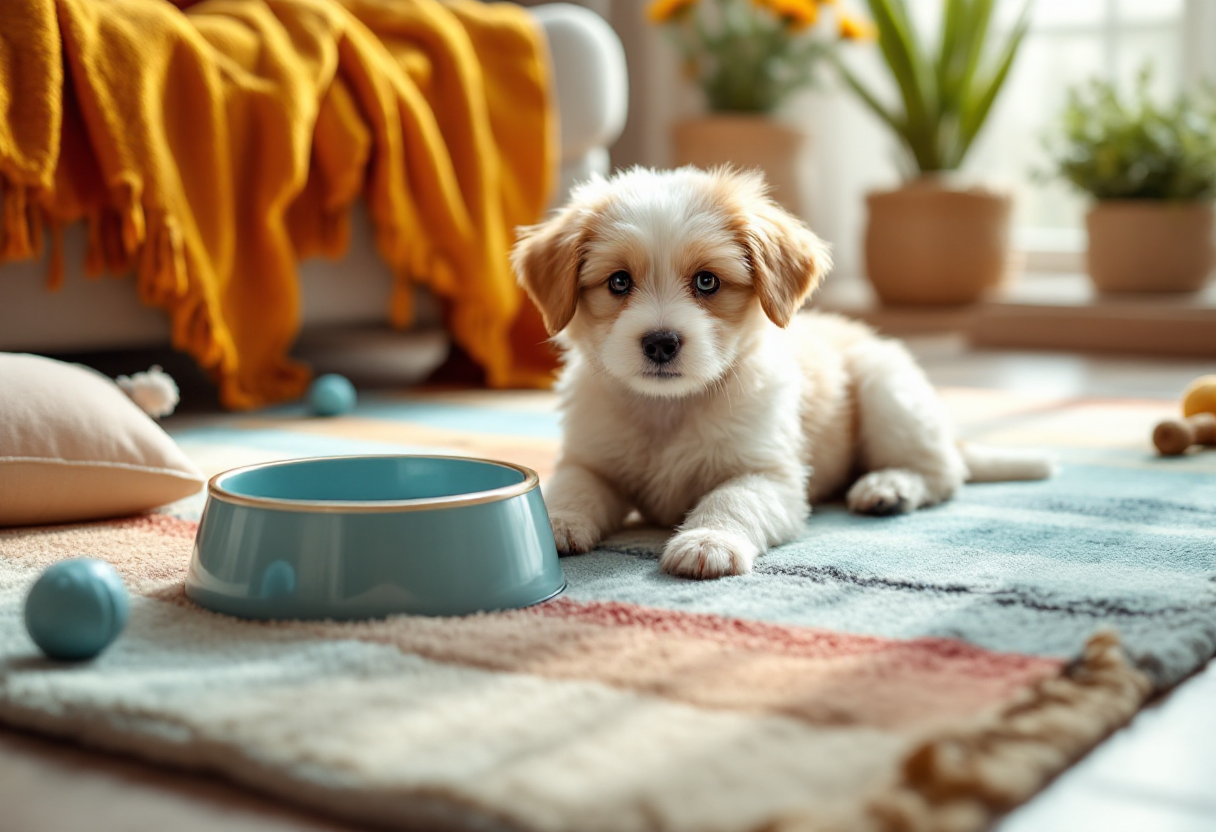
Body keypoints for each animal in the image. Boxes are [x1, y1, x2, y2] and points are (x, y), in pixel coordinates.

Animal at [513, 165, 1055, 574]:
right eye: (619, 282)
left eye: (706, 281)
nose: (661, 343)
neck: (669, 410)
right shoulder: (590, 460)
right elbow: (573, 486)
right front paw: (556, 521)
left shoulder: (769, 474)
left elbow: (731, 500)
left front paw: (708, 542)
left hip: (888, 390)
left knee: (943, 472)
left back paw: (887, 487)